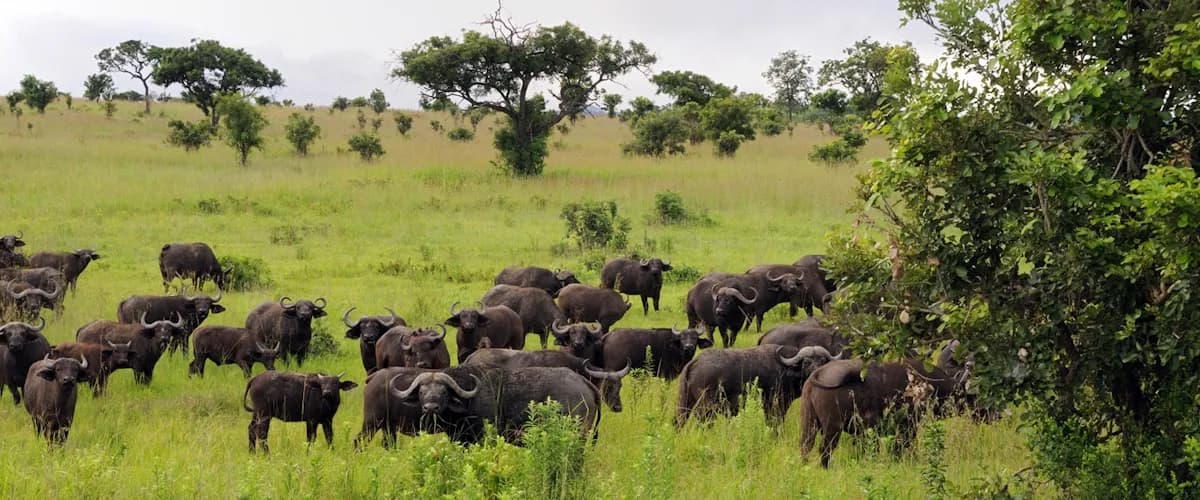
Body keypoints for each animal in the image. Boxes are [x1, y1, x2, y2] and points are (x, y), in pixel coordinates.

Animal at [676, 344, 839, 427]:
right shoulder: (775, 404)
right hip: (706, 406)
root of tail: (695, 362)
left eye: (823, 360)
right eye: (806, 362)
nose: (817, 371)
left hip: (684, 404)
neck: (786, 368)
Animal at [799, 358, 968, 468]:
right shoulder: (907, 427)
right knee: (824, 449)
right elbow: (900, 447)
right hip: (832, 428)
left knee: (805, 446)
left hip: (809, 424)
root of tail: (817, 374)